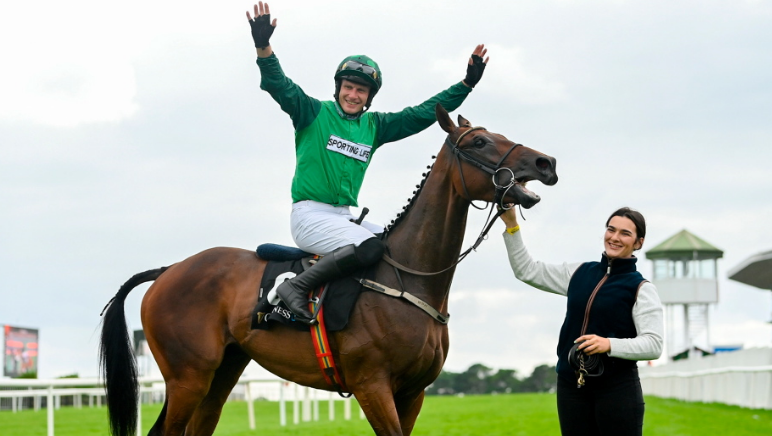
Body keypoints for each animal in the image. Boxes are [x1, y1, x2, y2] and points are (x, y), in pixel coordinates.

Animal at [99, 103, 556, 436]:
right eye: (479, 141)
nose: (546, 162)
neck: (407, 278)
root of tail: (168, 270)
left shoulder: (413, 393)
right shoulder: (373, 386)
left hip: (221, 375)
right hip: (187, 378)